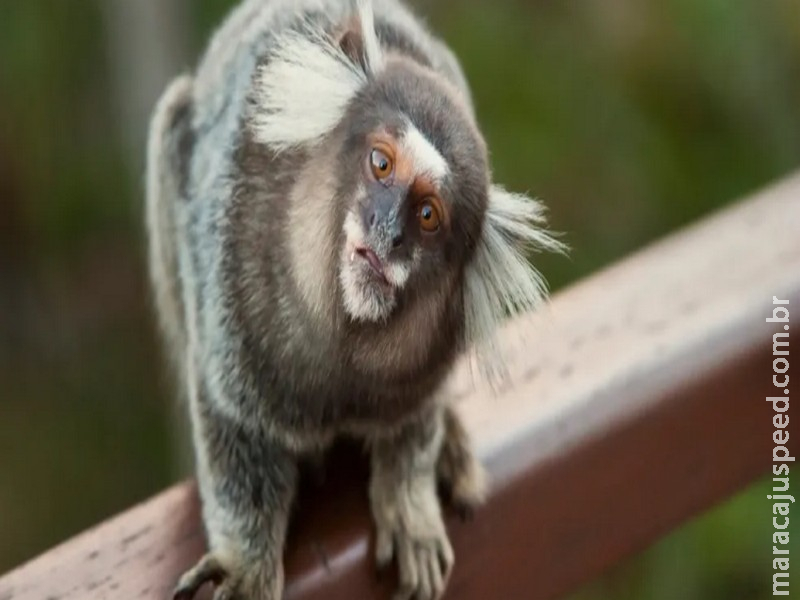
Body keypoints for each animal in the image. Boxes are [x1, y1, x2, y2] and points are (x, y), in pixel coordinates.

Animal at [146, 1, 563, 599]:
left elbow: (415, 425)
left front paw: (409, 500)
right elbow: (233, 422)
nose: (387, 233)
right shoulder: (232, 281)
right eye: (381, 164)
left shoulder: (429, 363)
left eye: (428, 215)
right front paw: (246, 561)